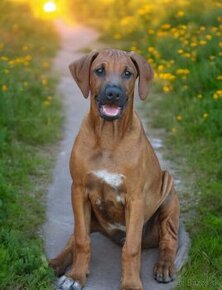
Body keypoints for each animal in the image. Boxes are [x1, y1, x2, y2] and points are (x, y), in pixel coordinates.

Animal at [50, 49, 182, 290]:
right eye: (99, 70)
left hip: (168, 192)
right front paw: (76, 275)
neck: (108, 137)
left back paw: (164, 265)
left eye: (128, 73)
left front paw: (130, 284)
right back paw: (56, 263)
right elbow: (82, 240)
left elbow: (131, 248)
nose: (113, 93)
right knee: (75, 237)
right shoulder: (78, 190)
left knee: (169, 239)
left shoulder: (136, 198)